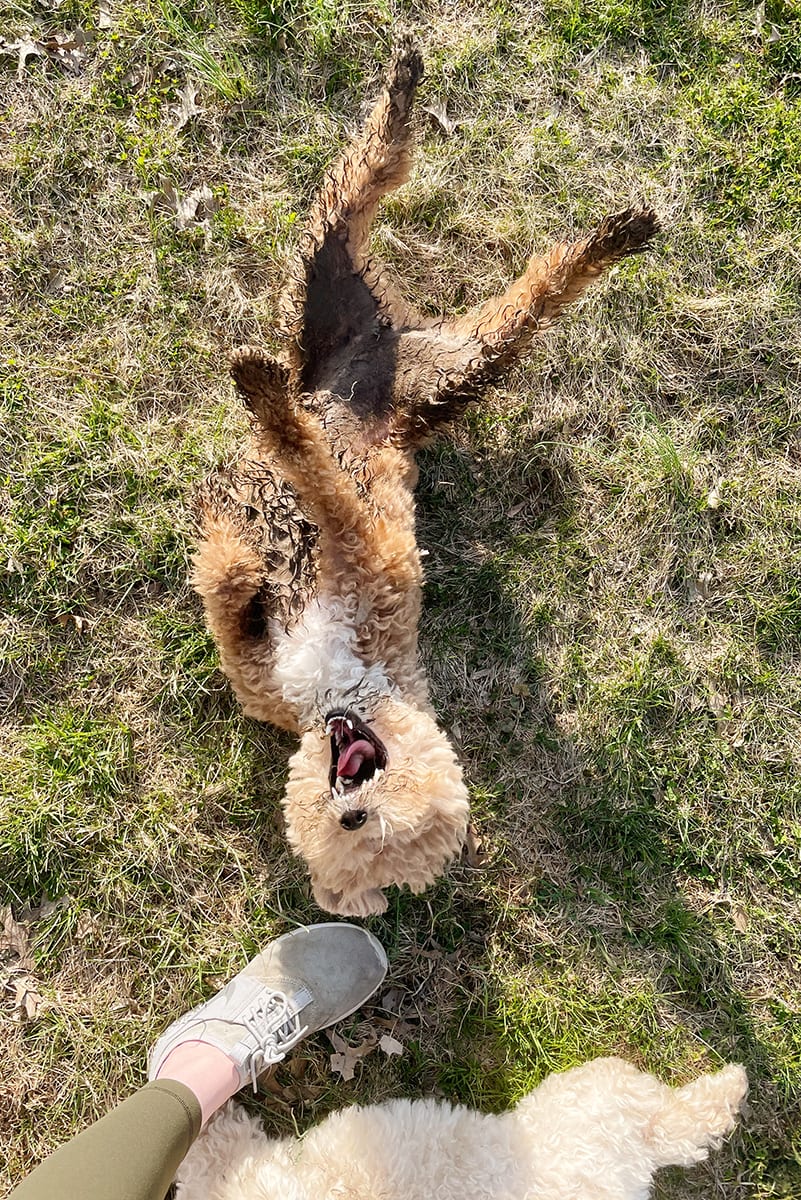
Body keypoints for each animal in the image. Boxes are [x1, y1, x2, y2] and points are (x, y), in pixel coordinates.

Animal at [190, 42, 661, 912]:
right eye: (353, 819)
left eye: (369, 833)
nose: (349, 790)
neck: (339, 688)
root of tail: (388, 344)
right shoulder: (280, 641)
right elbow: (233, 571)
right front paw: (237, 550)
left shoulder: (358, 541)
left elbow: (304, 462)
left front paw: (268, 455)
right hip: (326, 283)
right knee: (367, 176)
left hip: (460, 367)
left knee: (529, 290)